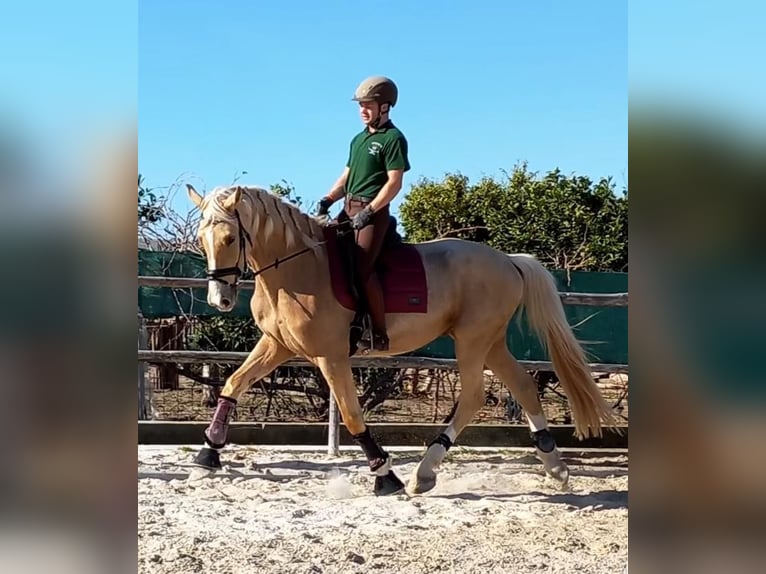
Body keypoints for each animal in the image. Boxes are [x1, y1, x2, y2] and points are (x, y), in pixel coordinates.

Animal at [188, 186, 624, 500]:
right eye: (201, 239)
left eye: (230, 237)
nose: (219, 299)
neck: (296, 270)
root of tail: (509, 261)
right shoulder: (278, 345)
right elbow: (234, 384)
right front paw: (207, 454)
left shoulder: (330, 356)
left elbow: (352, 416)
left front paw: (385, 476)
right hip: (491, 342)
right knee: (521, 385)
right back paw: (556, 468)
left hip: (472, 341)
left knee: (473, 397)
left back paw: (423, 474)